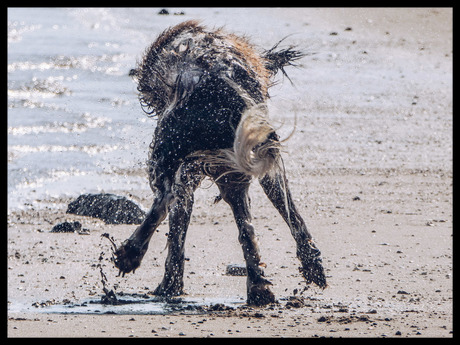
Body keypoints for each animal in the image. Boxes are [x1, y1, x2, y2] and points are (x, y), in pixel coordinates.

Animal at [113, 20, 326, 306]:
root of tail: (222, 86)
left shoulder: (187, 171)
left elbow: (176, 227)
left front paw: (169, 284)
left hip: (173, 158)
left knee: (164, 200)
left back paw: (131, 253)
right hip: (249, 164)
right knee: (254, 227)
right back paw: (260, 287)